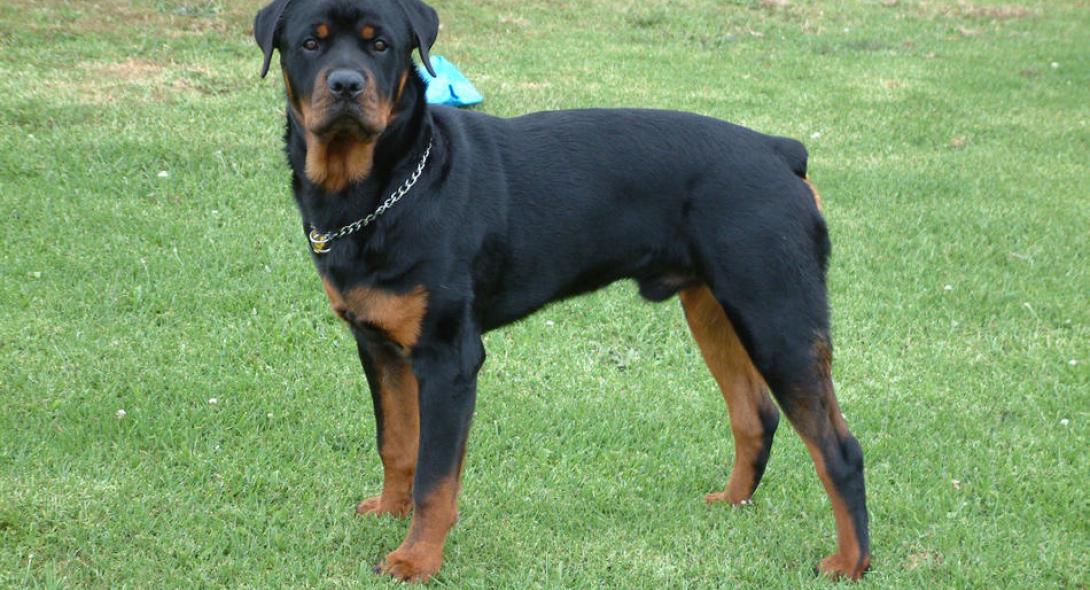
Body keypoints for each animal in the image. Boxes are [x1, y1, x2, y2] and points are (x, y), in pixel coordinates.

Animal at [253, 0, 871, 581]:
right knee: (754, 416)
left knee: (839, 449)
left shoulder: (449, 359)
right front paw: (389, 510)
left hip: (778, 318)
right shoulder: (379, 346)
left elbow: (435, 476)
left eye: (380, 45)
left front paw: (416, 558)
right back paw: (732, 502)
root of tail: (778, 150)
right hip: (715, 309)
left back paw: (850, 562)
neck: (384, 189)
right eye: (310, 43)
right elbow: (398, 443)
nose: (346, 84)